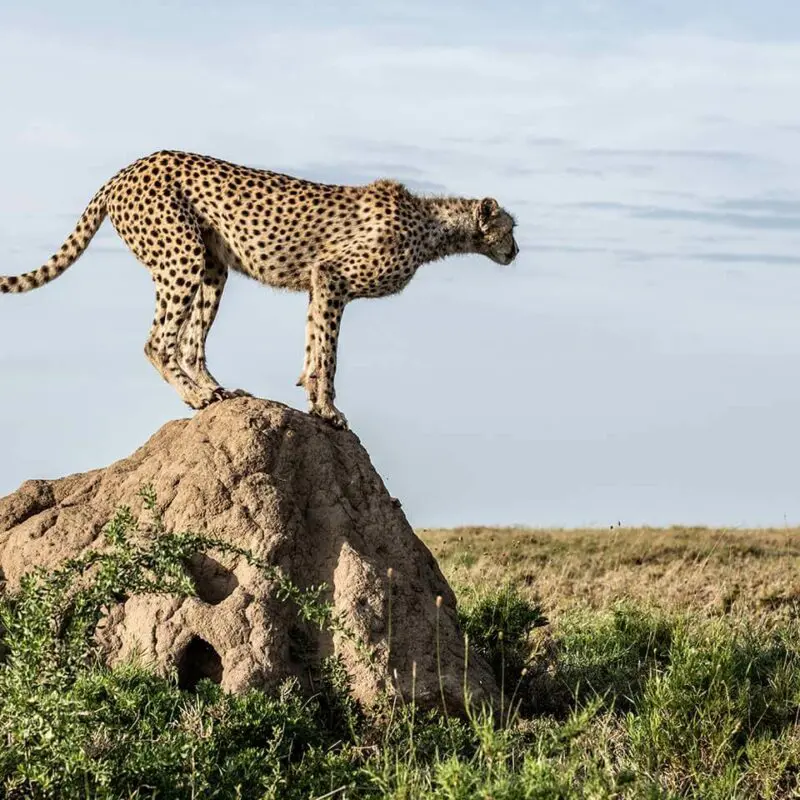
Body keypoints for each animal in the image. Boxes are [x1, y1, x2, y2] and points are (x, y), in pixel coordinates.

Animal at [0, 150, 519, 428]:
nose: (516, 251)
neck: (433, 227)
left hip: (212, 267)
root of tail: (126, 169)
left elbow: (313, 344)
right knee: (158, 342)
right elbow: (328, 353)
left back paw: (218, 392)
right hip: (181, 256)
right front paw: (329, 410)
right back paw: (196, 398)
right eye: (510, 228)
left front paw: (312, 400)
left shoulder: (320, 285)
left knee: (190, 343)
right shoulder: (331, 276)